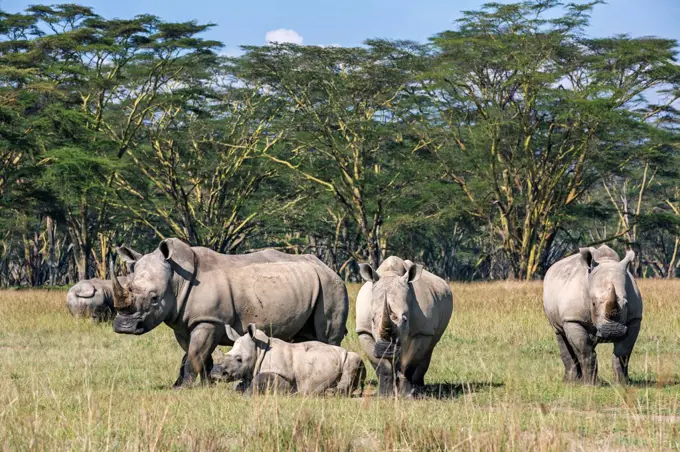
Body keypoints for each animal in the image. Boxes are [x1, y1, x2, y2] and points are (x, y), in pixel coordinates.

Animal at [111, 237, 348, 388]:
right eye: (129, 286)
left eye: (154, 298)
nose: (124, 327)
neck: (177, 278)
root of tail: (328, 267)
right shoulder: (184, 322)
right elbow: (195, 354)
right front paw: (205, 385)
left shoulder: (209, 320)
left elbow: (195, 354)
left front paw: (184, 388)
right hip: (307, 285)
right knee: (304, 336)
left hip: (331, 286)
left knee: (327, 335)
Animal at [212, 324, 366, 396]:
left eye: (239, 359)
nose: (215, 374)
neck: (259, 349)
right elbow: (240, 384)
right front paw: (240, 389)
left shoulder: (285, 377)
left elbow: (259, 380)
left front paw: (247, 394)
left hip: (348, 356)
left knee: (353, 359)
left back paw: (331, 393)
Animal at [356, 256, 452, 398]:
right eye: (372, 320)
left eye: (405, 319)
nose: (386, 349)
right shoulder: (364, 330)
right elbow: (381, 365)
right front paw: (384, 395)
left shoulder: (422, 331)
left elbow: (409, 364)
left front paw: (407, 395)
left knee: (429, 348)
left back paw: (419, 389)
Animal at [540, 245, 644, 384]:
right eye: (593, 303)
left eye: (626, 303)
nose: (613, 331)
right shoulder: (573, 319)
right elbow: (585, 350)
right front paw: (588, 384)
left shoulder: (635, 319)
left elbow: (623, 351)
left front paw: (622, 383)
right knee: (560, 334)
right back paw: (570, 381)